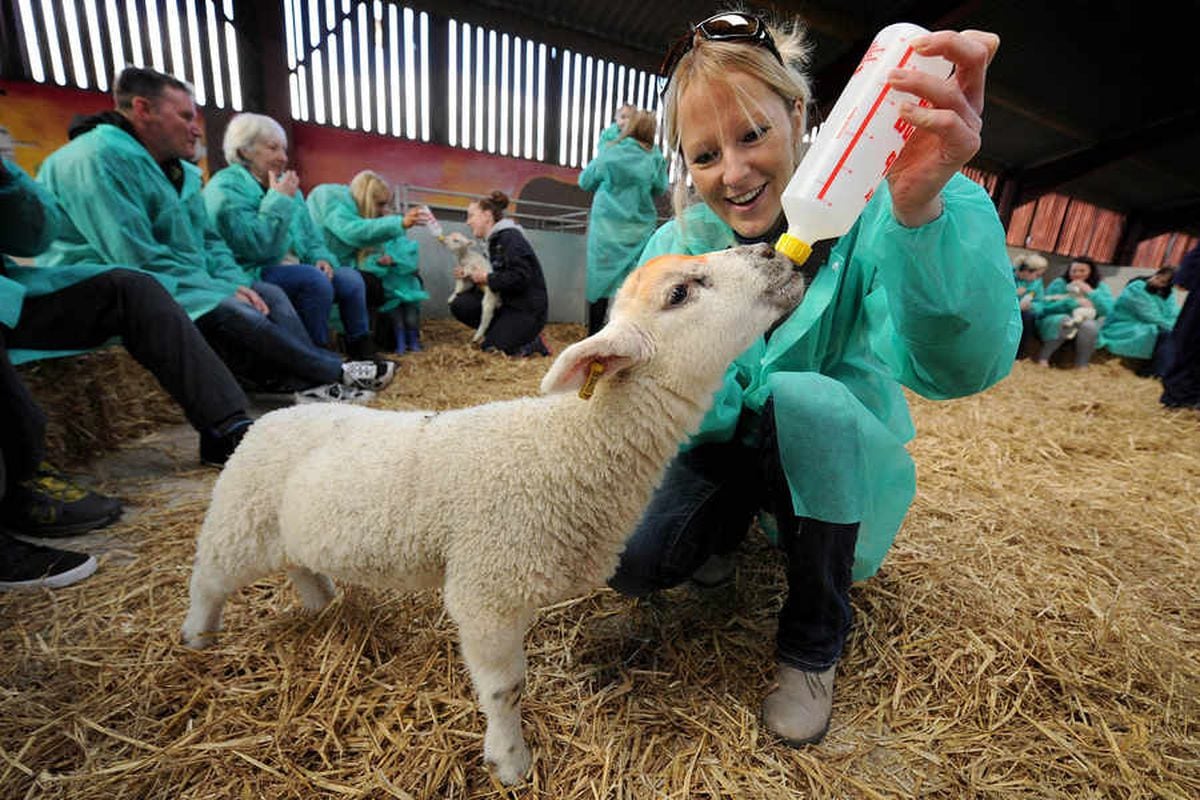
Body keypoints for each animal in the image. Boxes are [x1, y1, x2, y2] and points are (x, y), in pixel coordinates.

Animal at [180, 241, 806, 786]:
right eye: (680, 293)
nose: (771, 251)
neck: (566, 445)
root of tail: (271, 418)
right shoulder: (486, 590)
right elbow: (506, 690)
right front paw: (509, 761)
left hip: (289, 528)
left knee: (300, 565)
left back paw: (322, 605)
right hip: (240, 519)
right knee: (208, 580)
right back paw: (197, 640)